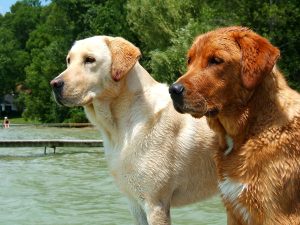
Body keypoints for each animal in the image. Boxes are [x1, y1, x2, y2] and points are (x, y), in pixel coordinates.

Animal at [49, 36, 218, 224]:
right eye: (68, 61)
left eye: (90, 59)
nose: (54, 84)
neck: (117, 128)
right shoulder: (135, 203)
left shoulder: (155, 203)